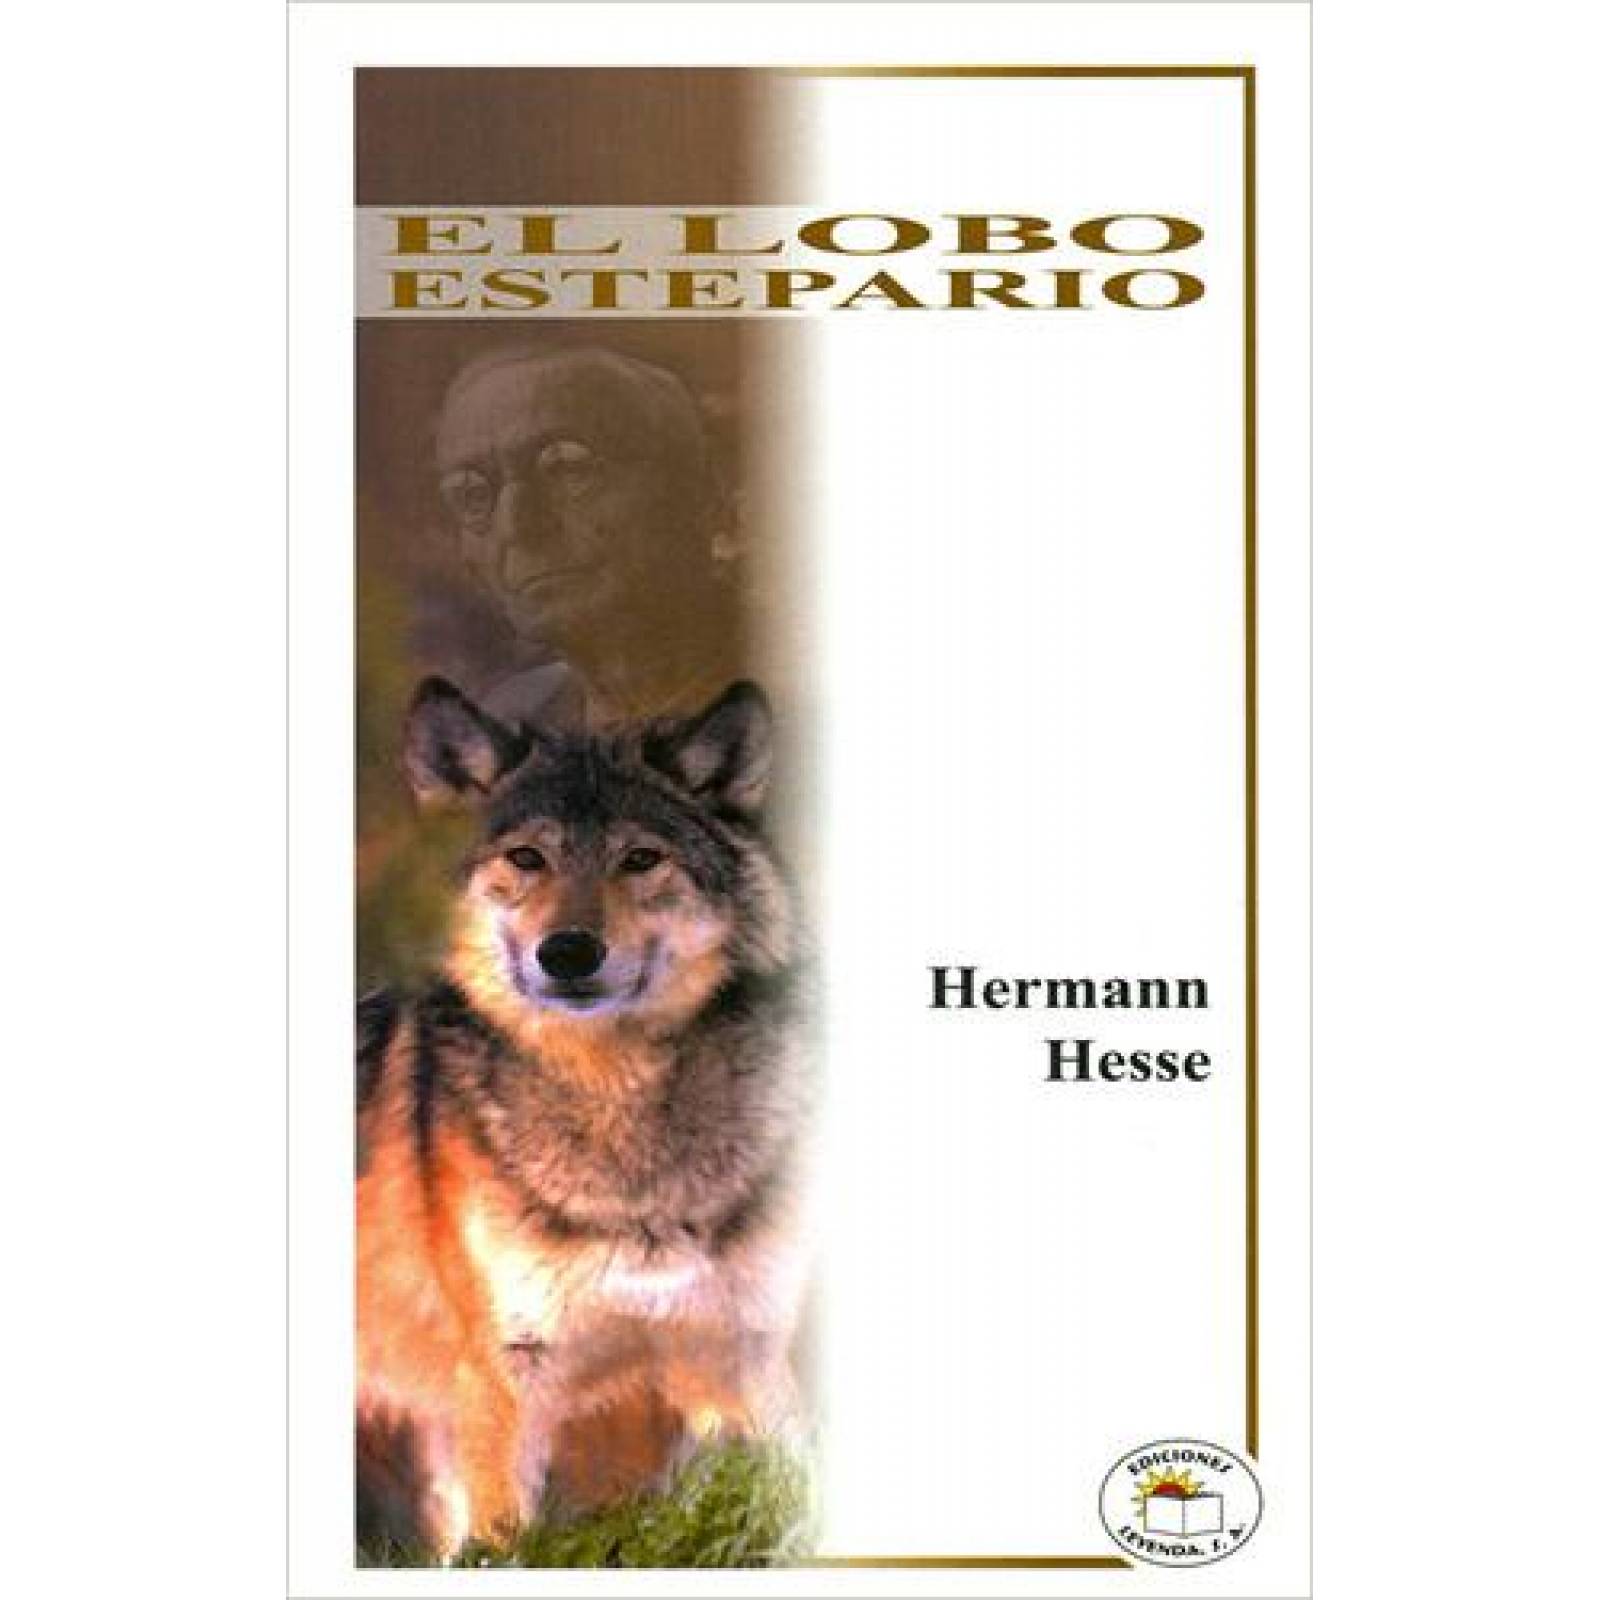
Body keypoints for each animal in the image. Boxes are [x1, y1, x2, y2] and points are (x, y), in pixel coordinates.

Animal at [355, 677, 811, 1559]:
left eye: (640, 859)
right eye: (527, 858)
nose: (567, 952)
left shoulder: (739, 1357)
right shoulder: (505, 1377)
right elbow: (502, 1544)